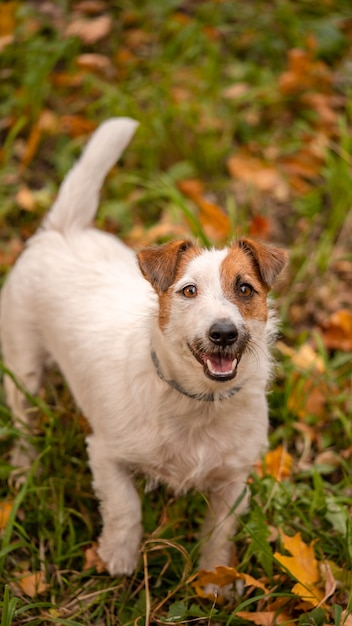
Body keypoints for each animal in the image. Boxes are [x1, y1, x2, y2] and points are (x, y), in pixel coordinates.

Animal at [0, 118, 286, 584]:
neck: (196, 404)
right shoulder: (106, 455)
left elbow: (218, 532)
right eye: (188, 290)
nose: (223, 333)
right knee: (23, 422)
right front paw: (118, 557)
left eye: (245, 289)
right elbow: (125, 508)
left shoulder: (233, 481)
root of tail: (62, 230)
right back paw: (25, 468)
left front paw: (213, 580)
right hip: (22, 368)